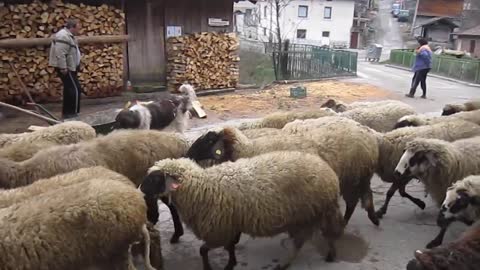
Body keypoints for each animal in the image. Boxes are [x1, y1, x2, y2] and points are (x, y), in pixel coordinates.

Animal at [141, 152, 344, 270]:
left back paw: (291, 262)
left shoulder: (218, 230)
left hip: (311, 213)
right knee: (320, 236)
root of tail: (328, 171)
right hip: (311, 214)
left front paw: (210, 268)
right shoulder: (230, 224)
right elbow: (229, 247)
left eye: (155, 178)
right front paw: (231, 263)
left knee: (313, 238)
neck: (202, 187)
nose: (140, 189)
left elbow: (203, 250)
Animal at [188, 116, 382, 226]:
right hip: (361, 177)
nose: (188, 154)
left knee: (353, 203)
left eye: (210, 140)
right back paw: (374, 217)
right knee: (367, 198)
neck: (249, 148)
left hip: (353, 178)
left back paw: (347, 222)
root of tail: (368, 135)